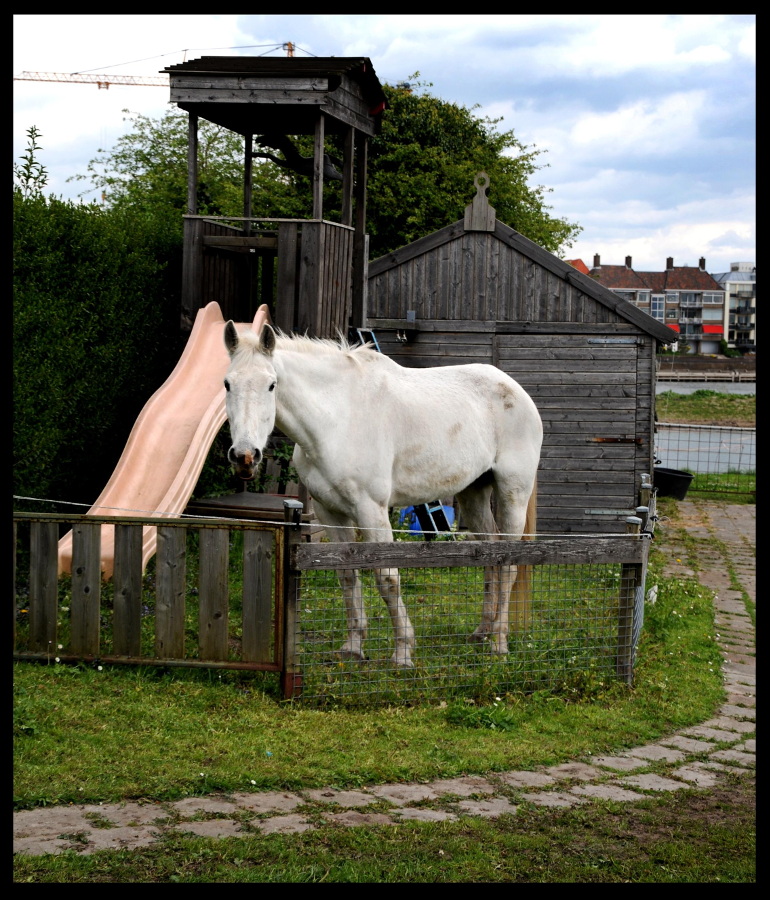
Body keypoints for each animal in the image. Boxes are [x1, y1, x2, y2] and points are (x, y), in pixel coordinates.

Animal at [223, 321, 543, 669]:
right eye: (227, 383)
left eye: (271, 385)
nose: (244, 456)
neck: (337, 418)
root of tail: (515, 389)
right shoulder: (330, 513)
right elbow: (347, 576)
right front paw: (353, 647)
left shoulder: (371, 510)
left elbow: (387, 578)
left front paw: (402, 653)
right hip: (473, 494)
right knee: (489, 555)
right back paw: (482, 632)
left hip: (513, 491)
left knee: (508, 564)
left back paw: (499, 644)